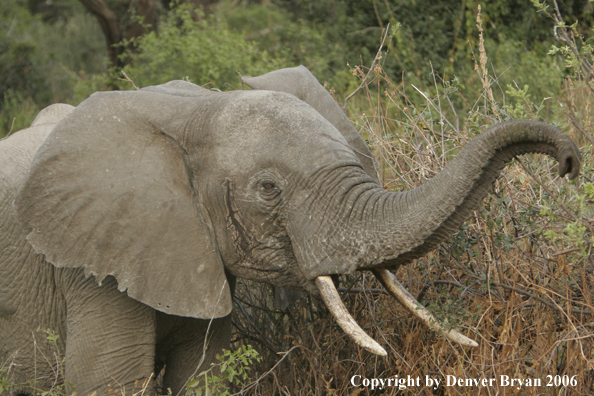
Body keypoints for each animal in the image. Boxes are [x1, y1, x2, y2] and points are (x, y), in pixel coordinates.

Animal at [0, 65, 580, 392]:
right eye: (267, 189)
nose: (568, 161)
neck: (193, 109)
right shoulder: (92, 262)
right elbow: (108, 381)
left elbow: (204, 372)